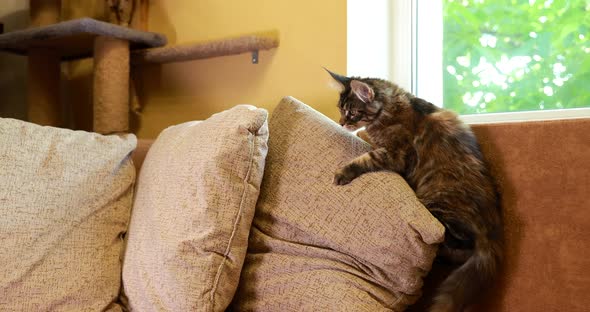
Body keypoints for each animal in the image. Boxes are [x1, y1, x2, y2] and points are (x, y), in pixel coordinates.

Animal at [328, 69, 504, 312]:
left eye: (352, 112)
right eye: (340, 109)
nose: (341, 122)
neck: (391, 109)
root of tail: (492, 230)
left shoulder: (395, 154)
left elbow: (365, 158)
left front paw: (342, 173)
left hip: (437, 206)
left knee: (457, 244)